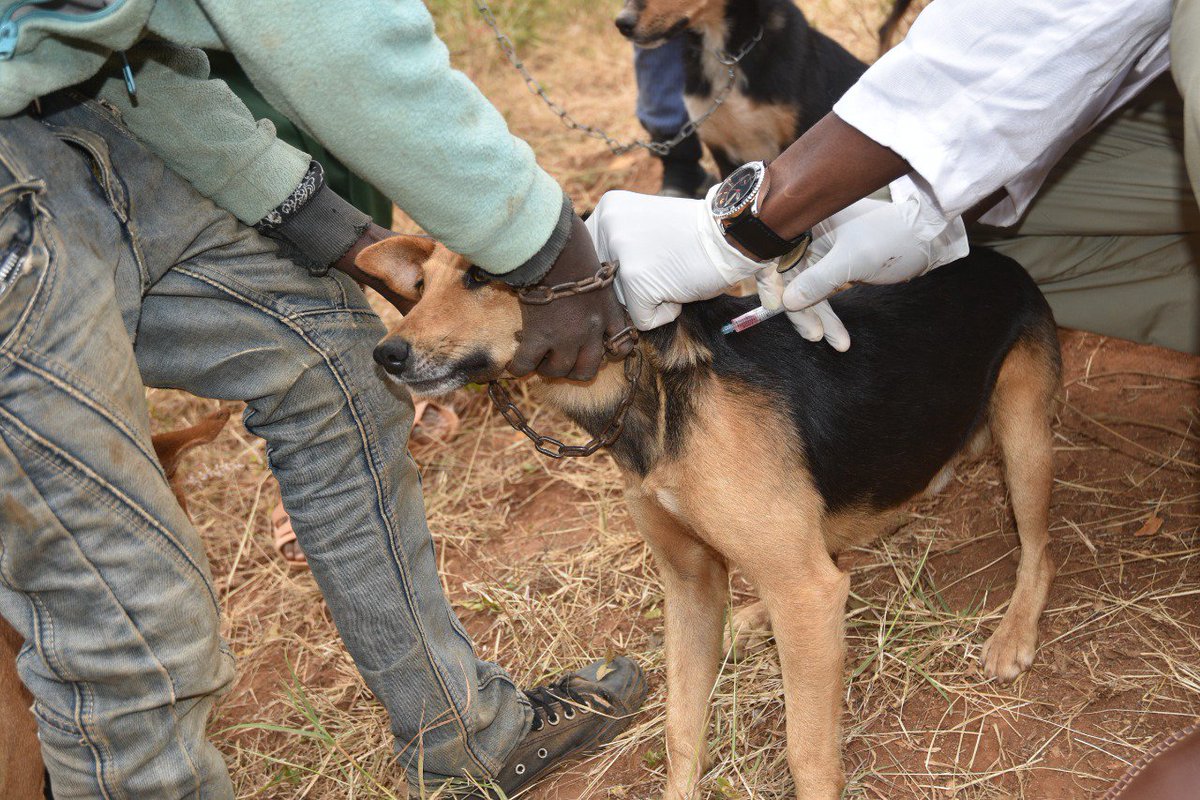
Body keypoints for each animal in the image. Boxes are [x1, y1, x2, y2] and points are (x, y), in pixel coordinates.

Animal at [360, 236, 1065, 800]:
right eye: (419, 289)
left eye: (480, 276)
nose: (387, 354)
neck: (649, 387)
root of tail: (997, 256)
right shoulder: (691, 583)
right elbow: (680, 729)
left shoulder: (801, 590)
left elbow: (808, 754)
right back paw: (758, 616)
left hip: (1023, 433)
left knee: (1040, 548)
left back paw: (1013, 634)